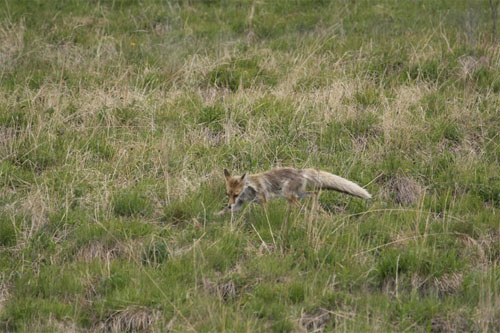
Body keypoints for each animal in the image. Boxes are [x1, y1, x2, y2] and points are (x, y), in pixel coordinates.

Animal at [219, 167, 372, 214]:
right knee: (314, 193)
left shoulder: (263, 199)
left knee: (302, 204)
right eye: (228, 194)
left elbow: (265, 212)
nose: (229, 204)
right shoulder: (239, 205)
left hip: (288, 194)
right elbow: (225, 213)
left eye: (236, 194)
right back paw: (316, 210)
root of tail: (300, 171)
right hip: (299, 193)